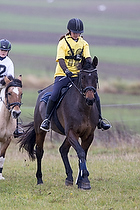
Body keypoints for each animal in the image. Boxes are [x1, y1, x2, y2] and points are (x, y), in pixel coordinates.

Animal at [18, 57, 98, 190]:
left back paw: (69, 178)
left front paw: (81, 181)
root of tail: (42, 92)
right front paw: (85, 180)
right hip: (40, 131)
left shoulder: (88, 135)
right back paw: (39, 179)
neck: (82, 108)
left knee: (63, 150)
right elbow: (81, 153)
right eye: (82, 77)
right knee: (39, 152)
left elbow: (83, 155)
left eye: (96, 77)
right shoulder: (71, 132)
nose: (90, 99)